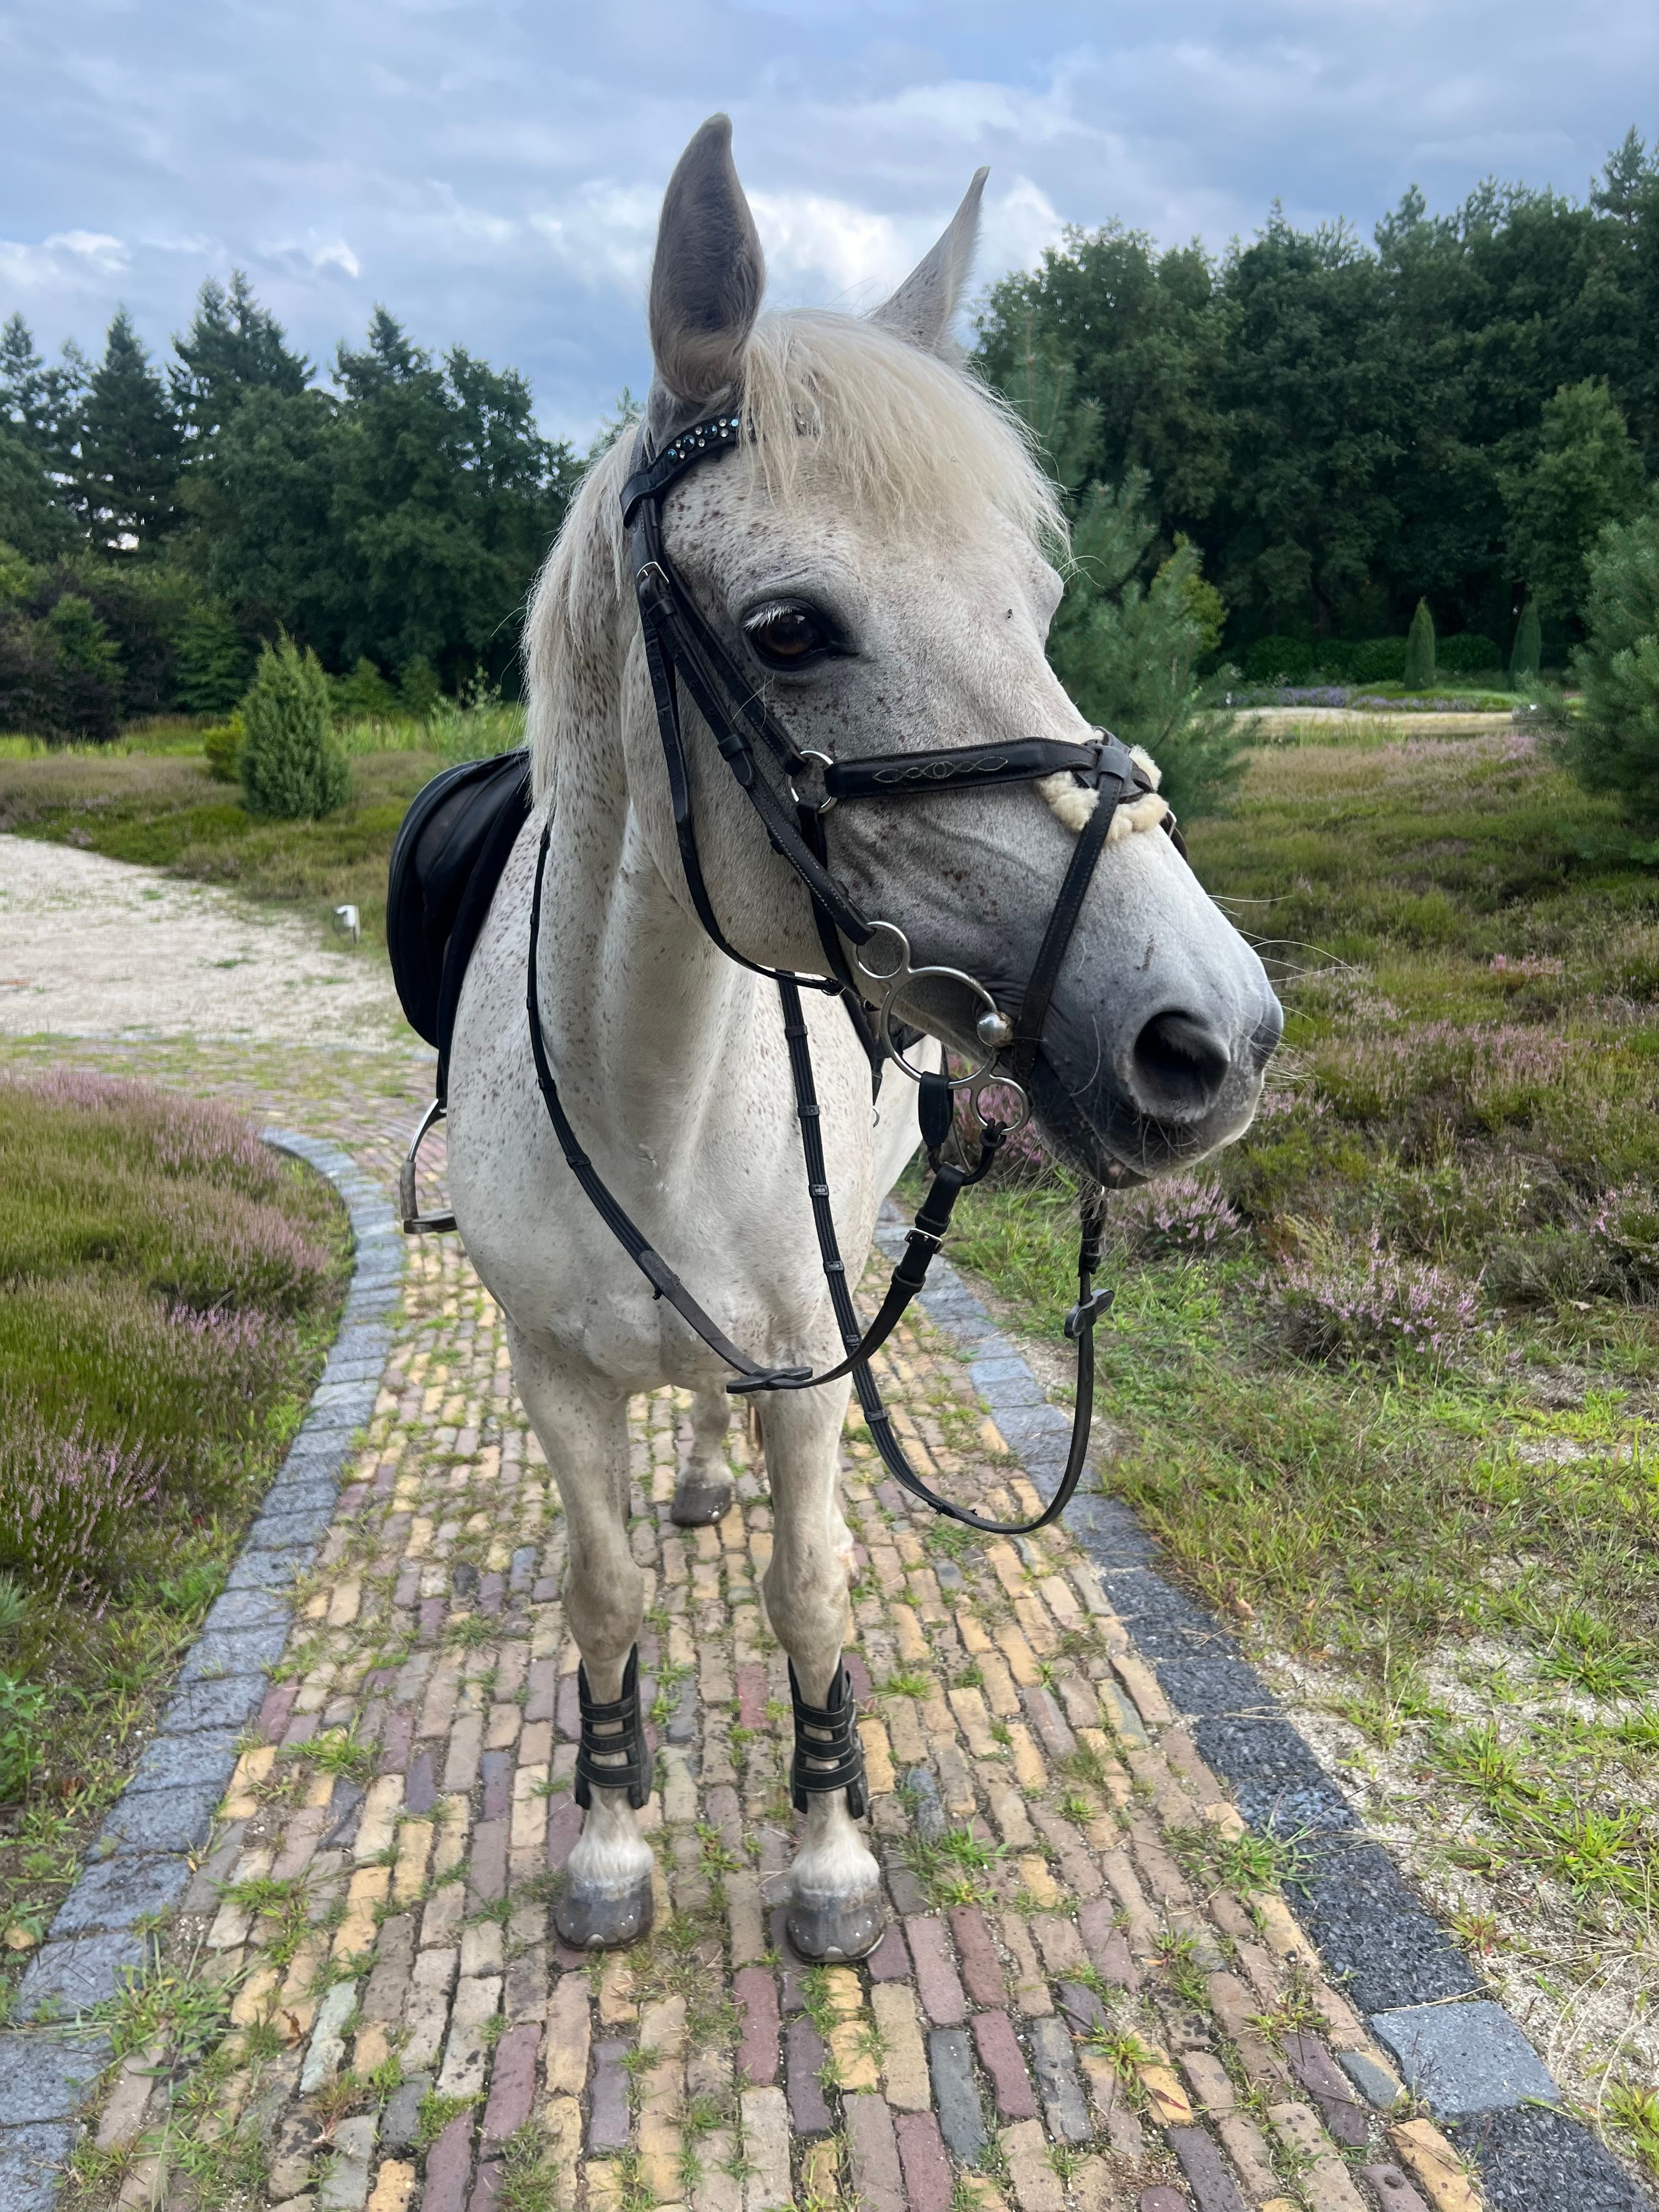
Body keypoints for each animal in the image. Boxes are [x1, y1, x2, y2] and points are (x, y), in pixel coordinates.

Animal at [443, 115, 1282, 1963]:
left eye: (1034, 603)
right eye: (789, 631)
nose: (1217, 1036)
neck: (648, 1088)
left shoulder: (813, 1368)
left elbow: (809, 1592)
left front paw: (826, 1853)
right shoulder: (553, 1375)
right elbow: (604, 1590)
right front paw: (609, 1832)